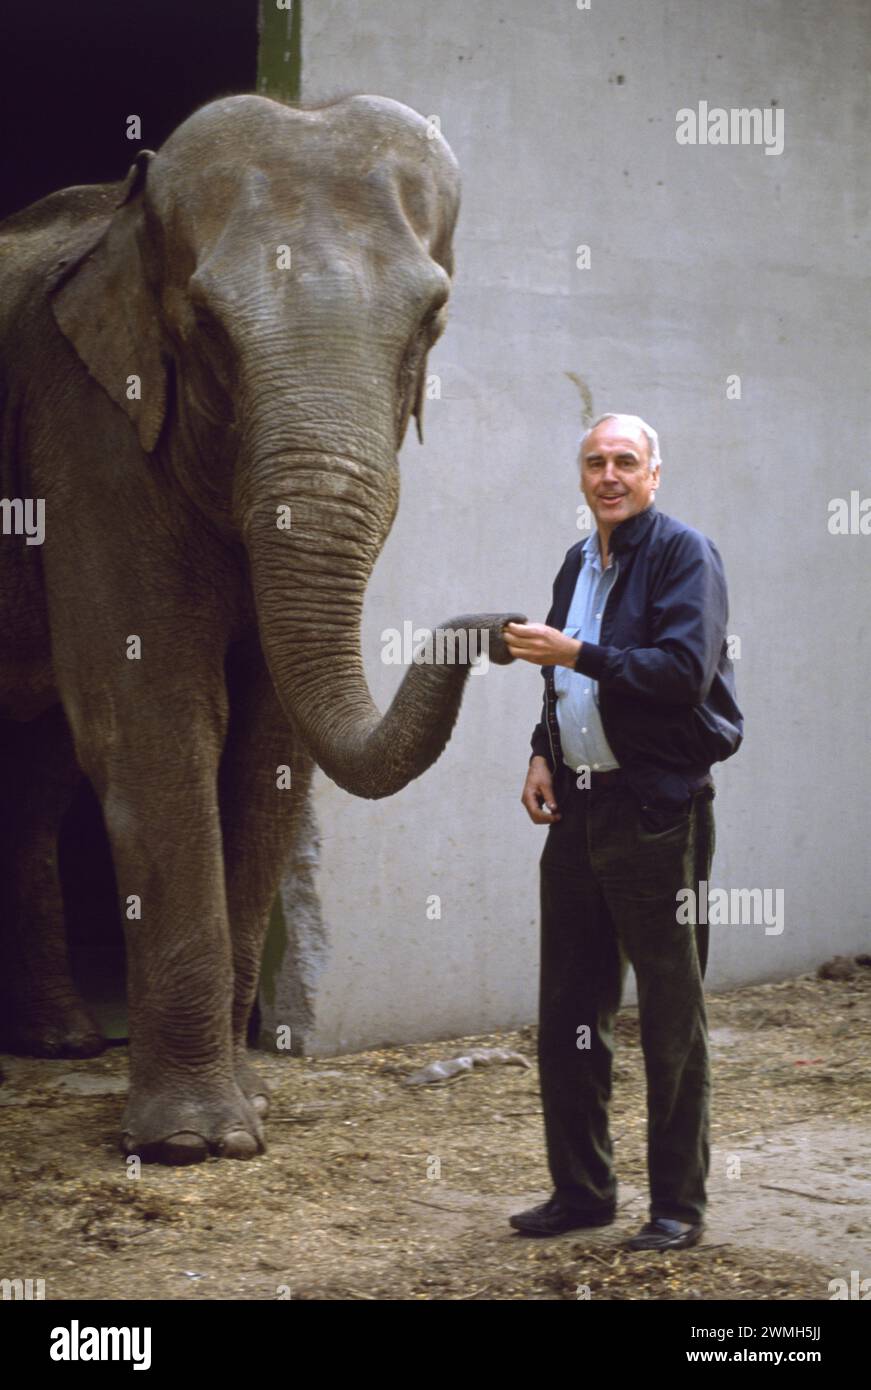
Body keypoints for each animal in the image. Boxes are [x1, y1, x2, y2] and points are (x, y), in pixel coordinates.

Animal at [0, 95, 525, 1162]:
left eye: (433, 318)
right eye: (203, 326)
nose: (504, 626)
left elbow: (270, 746)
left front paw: (251, 1110)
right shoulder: (91, 433)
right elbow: (155, 719)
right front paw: (195, 1144)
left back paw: (60, 1041)